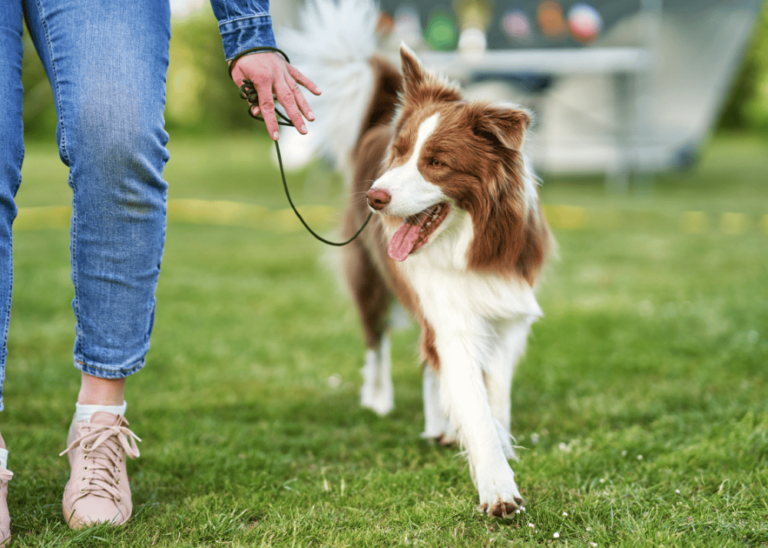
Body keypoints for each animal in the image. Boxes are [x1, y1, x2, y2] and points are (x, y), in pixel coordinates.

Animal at [282, 0, 552, 516]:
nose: (374, 197)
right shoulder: (449, 316)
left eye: (437, 163)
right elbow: (473, 401)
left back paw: (437, 425)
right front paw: (497, 486)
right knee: (377, 340)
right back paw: (379, 397)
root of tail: (373, 126)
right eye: (402, 152)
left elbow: (494, 395)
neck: (468, 241)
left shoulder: (506, 315)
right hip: (369, 279)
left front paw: (499, 443)